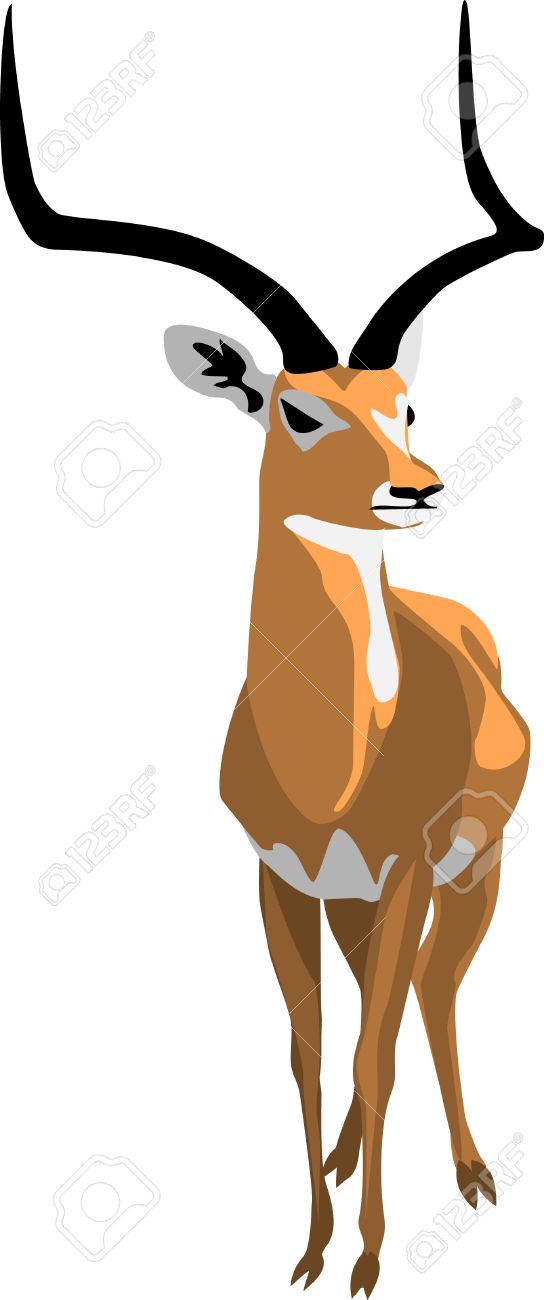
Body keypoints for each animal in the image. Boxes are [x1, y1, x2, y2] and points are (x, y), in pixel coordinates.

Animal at [2, 3, 541, 1294]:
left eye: (406, 404)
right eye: (295, 409)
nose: (416, 486)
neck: (333, 756)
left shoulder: (401, 874)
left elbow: (377, 1045)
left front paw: (367, 1260)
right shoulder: (279, 877)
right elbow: (306, 1052)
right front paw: (305, 1247)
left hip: (474, 872)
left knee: (430, 1000)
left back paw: (469, 1178)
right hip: (356, 901)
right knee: (375, 1015)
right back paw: (351, 1166)